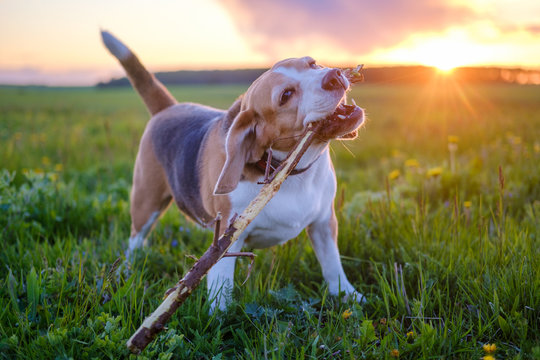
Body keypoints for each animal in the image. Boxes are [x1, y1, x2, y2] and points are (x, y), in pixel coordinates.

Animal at [100, 31, 362, 312]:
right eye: (286, 95)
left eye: (312, 64)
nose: (334, 75)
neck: (292, 171)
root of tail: (168, 108)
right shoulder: (229, 237)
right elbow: (220, 286)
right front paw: (219, 318)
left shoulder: (324, 223)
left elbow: (333, 265)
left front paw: (349, 296)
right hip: (145, 201)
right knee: (136, 240)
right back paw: (126, 270)